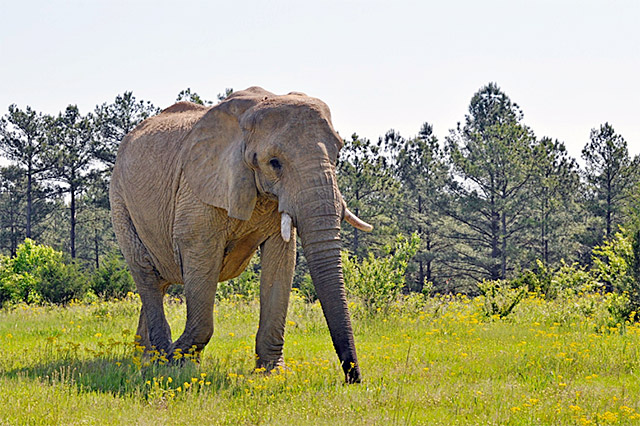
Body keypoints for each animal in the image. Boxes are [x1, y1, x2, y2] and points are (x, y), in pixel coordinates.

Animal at [109, 86, 370, 382]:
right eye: (274, 163)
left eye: (338, 155)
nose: (353, 379)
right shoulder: (198, 188)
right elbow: (201, 254)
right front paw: (178, 361)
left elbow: (280, 261)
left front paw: (272, 373)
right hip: (120, 202)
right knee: (146, 273)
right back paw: (158, 359)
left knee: (157, 281)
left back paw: (143, 357)